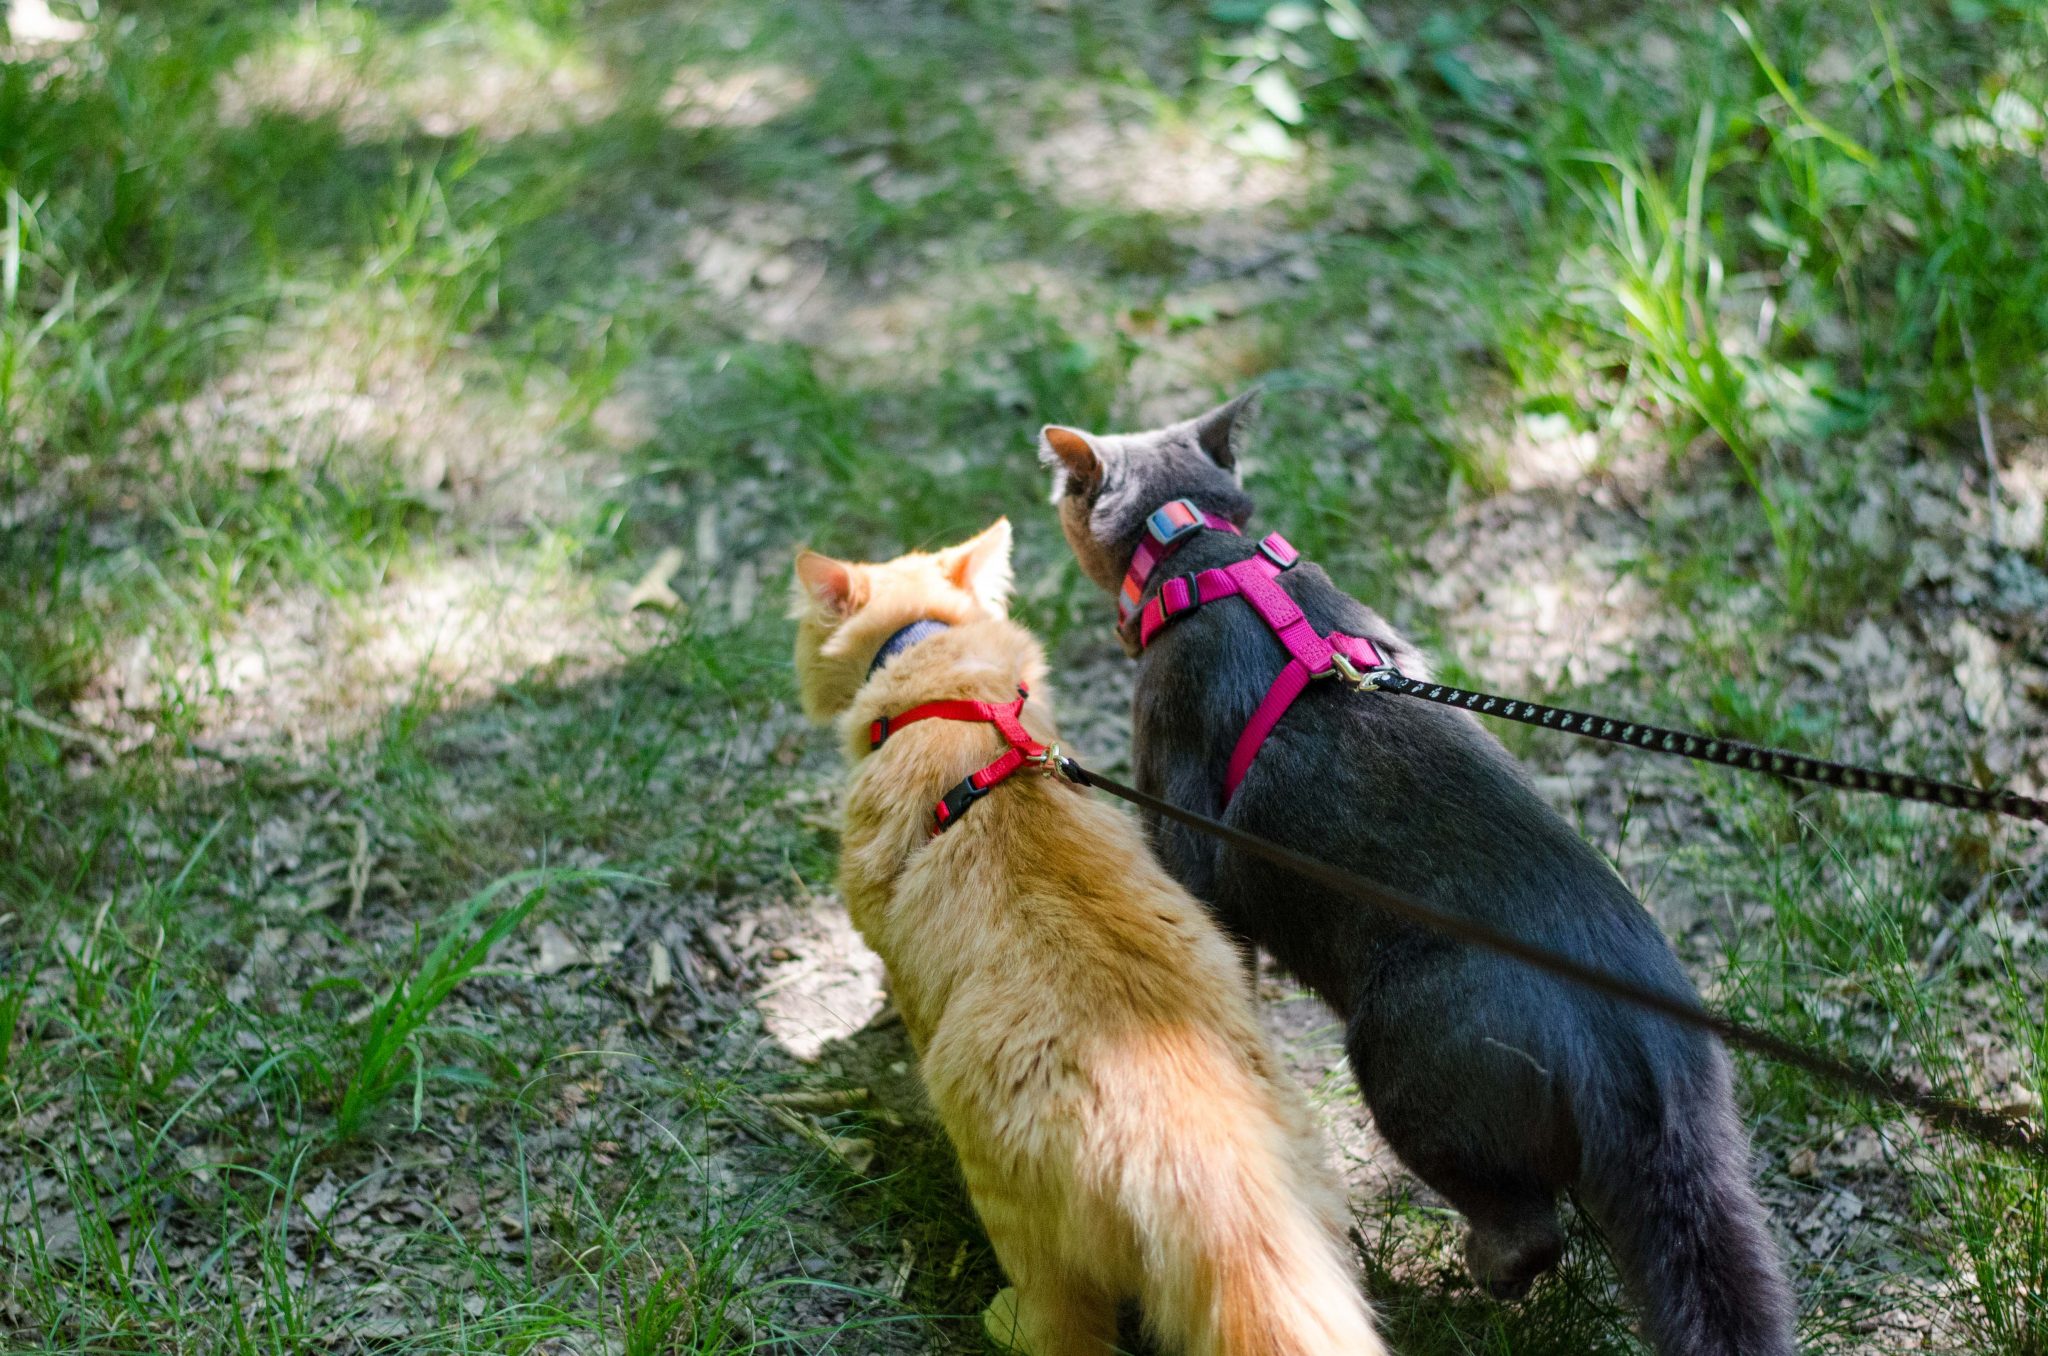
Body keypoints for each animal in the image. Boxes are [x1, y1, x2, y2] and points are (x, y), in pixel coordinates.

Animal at [790, 522, 1384, 1356]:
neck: (945, 684)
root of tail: (1199, 1156)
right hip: (1312, 1200)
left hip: (1008, 1202)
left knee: (1065, 1325)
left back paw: (1004, 1318)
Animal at [1040, 395, 1794, 1356]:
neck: (1199, 550)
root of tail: (1641, 1048)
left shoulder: (1183, 824)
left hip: (1399, 1059)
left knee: (1526, 1227)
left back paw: (1444, 1278)